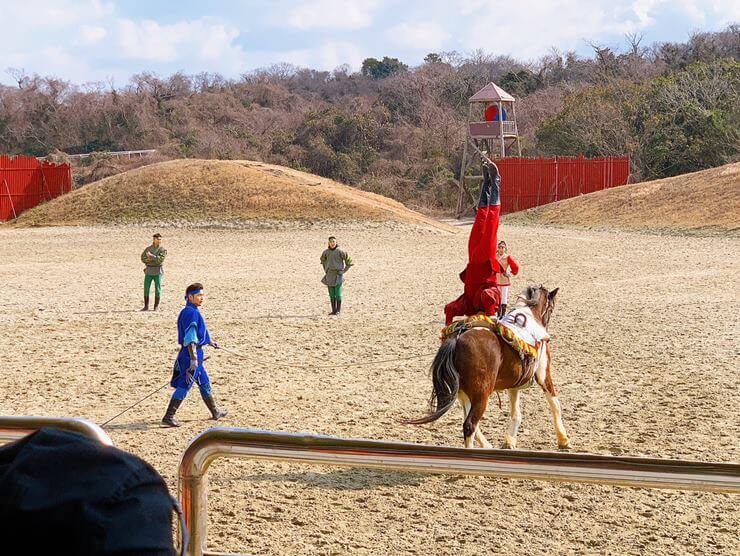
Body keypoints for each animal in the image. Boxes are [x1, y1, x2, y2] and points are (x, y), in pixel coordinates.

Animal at [404, 284, 572, 450]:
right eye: (551, 308)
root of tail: (457, 337)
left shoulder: (514, 384)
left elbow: (515, 413)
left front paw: (509, 441)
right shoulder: (543, 373)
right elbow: (554, 403)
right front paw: (563, 440)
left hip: (464, 393)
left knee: (470, 422)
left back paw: (487, 445)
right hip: (481, 393)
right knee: (470, 424)